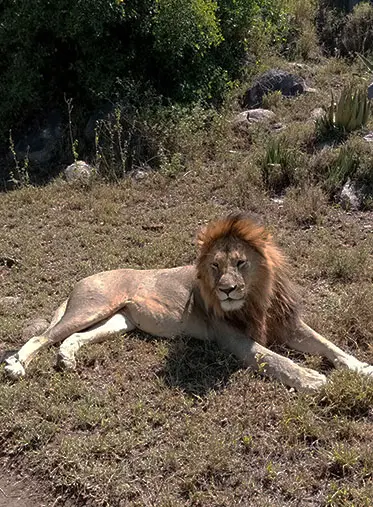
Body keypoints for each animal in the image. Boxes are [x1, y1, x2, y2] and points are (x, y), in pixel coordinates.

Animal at [2, 214, 372, 392]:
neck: (256, 298)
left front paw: (363, 368)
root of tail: (84, 278)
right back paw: (16, 366)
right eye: (215, 266)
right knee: (42, 336)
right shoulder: (233, 338)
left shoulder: (289, 323)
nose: (226, 291)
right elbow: (275, 359)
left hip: (119, 320)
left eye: (241, 263)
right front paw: (312, 379)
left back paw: (66, 358)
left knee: (72, 338)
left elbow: (330, 345)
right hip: (91, 307)